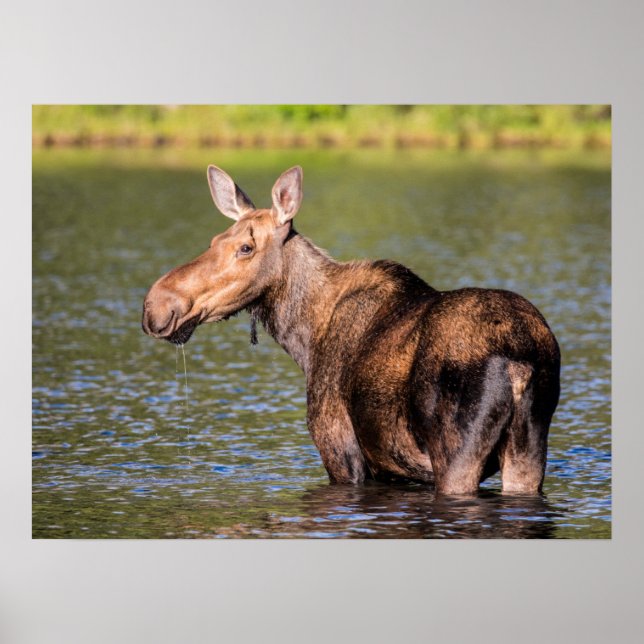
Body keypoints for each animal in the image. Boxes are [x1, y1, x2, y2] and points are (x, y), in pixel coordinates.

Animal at [142, 165, 560, 495]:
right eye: (215, 241)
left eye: (246, 247)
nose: (155, 305)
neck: (304, 338)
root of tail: (520, 364)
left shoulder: (340, 451)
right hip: (528, 452)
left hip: (457, 456)